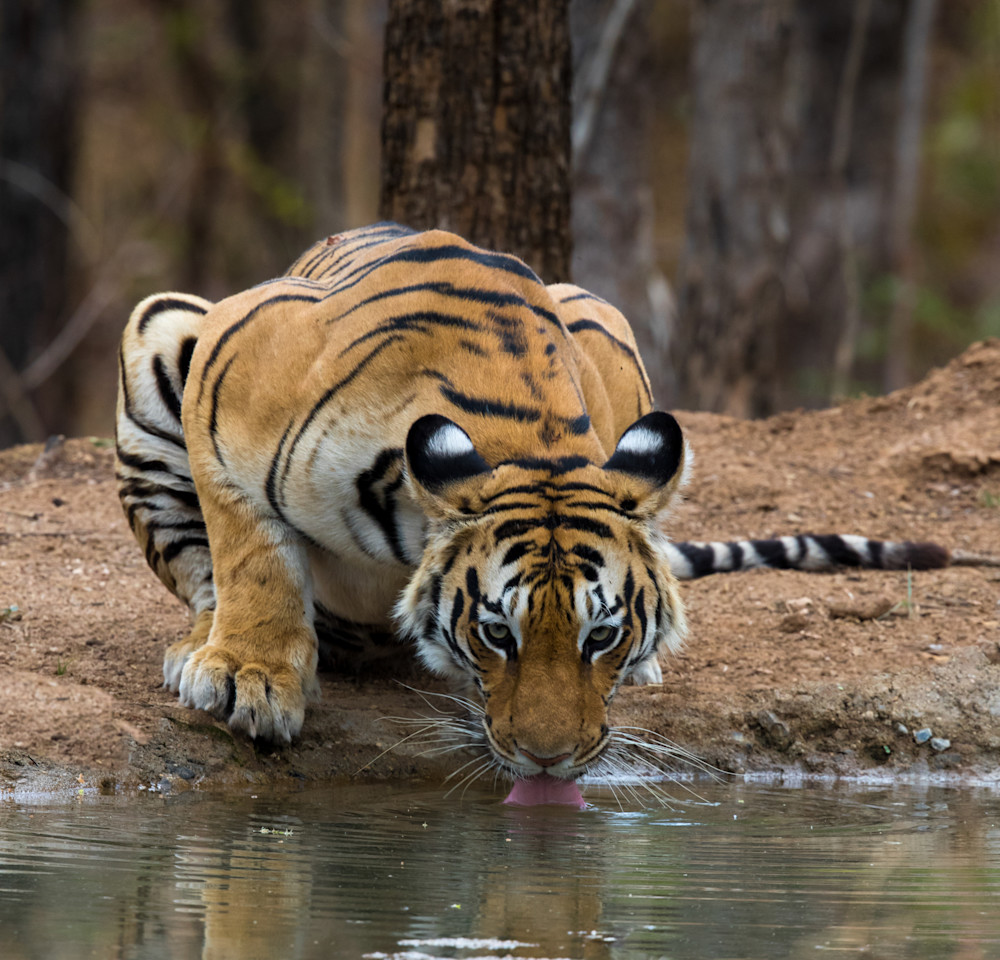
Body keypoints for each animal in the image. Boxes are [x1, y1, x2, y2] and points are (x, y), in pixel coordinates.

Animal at [113, 225, 948, 788]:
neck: (525, 440)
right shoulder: (230, 363)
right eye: (496, 633)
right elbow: (251, 550)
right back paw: (200, 645)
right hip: (165, 323)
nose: (549, 763)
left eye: (602, 635)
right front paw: (250, 677)